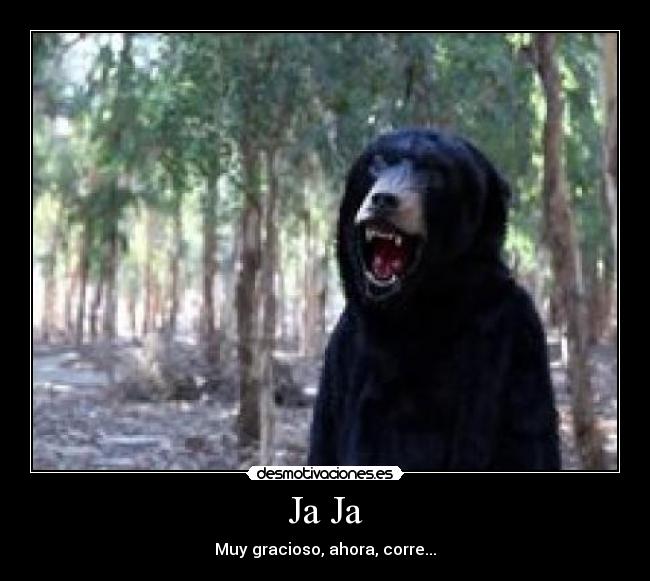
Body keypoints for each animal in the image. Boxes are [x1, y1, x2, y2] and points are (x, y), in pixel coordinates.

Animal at [308, 128, 561, 471]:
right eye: (377, 162)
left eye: (433, 174)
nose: (383, 199)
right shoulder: (343, 347)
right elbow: (327, 444)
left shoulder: (517, 336)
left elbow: (526, 441)